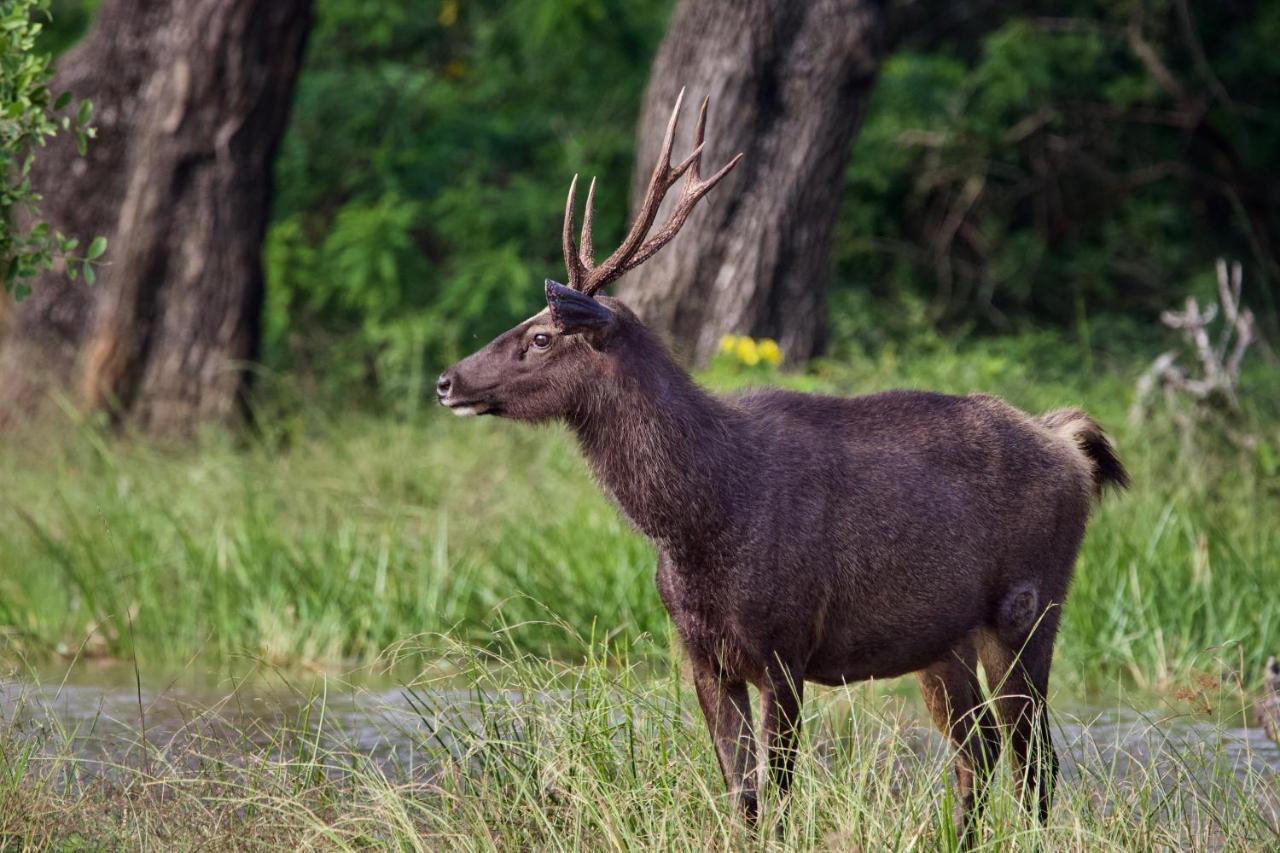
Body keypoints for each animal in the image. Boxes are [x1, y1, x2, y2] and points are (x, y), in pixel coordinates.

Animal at [440, 89, 1131, 835]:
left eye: (541, 335)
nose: (448, 380)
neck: (699, 517)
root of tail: (1068, 445)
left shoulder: (786, 644)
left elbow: (776, 795)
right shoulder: (703, 654)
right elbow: (740, 795)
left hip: (1028, 605)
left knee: (1037, 762)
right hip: (941, 639)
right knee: (980, 749)